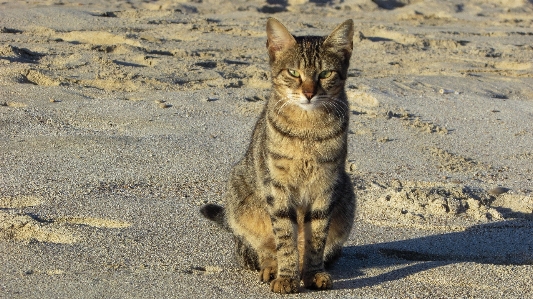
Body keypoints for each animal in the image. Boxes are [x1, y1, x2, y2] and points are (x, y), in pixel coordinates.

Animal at [200, 18, 354, 296]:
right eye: (293, 73)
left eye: (325, 74)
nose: (309, 93)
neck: (308, 129)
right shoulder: (277, 187)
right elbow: (285, 238)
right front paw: (286, 277)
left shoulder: (326, 186)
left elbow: (316, 238)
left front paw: (312, 274)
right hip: (240, 192)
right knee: (260, 248)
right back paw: (271, 268)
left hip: (347, 195)